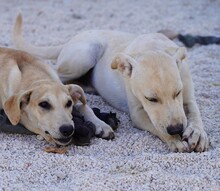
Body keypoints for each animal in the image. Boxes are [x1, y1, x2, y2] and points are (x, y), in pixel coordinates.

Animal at [12, 13, 209, 152]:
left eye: (177, 92)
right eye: (151, 99)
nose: (177, 129)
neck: (152, 48)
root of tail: (72, 39)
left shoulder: (188, 97)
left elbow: (195, 113)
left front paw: (198, 133)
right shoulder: (138, 113)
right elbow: (157, 126)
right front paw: (174, 140)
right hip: (84, 56)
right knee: (67, 88)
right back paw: (99, 123)